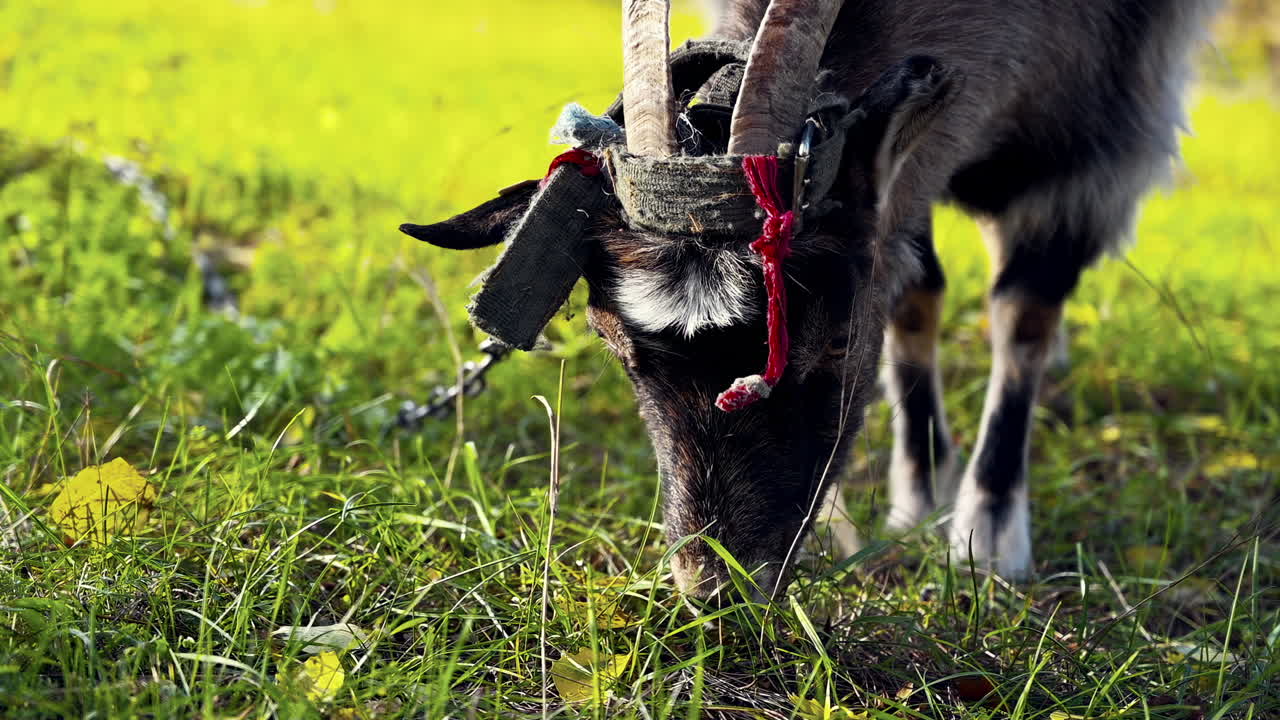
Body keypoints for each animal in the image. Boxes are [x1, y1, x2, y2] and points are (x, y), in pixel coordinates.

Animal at [401, 0, 1222, 600]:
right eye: (618, 347)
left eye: (834, 340)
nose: (715, 588)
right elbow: (917, 291)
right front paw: (920, 498)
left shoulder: (1097, 134)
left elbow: (1024, 314)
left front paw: (988, 535)